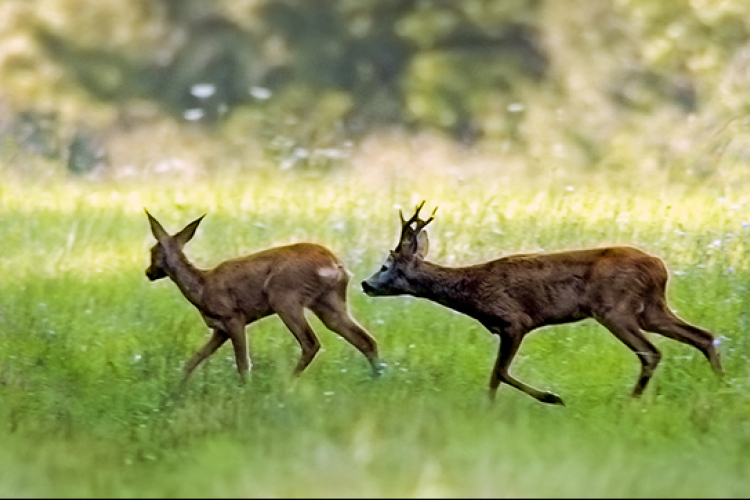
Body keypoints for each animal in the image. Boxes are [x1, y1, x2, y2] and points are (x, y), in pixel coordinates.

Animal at [145, 209, 382, 384]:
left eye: (152, 252)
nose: (148, 272)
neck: (203, 287)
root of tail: (335, 265)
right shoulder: (220, 329)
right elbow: (193, 360)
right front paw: (177, 387)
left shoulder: (233, 317)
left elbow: (243, 363)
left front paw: (245, 390)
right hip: (328, 301)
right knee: (366, 340)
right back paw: (377, 379)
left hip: (284, 297)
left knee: (311, 342)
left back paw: (287, 383)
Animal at [366, 201, 728, 404]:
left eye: (385, 266)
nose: (365, 284)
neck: (473, 291)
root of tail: (659, 266)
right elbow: (496, 375)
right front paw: (490, 407)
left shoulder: (515, 321)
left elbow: (500, 372)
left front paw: (552, 398)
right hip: (651, 308)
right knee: (703, 336)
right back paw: (724, 387)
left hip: (616, 309)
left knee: (651, 352)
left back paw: (632, 401)